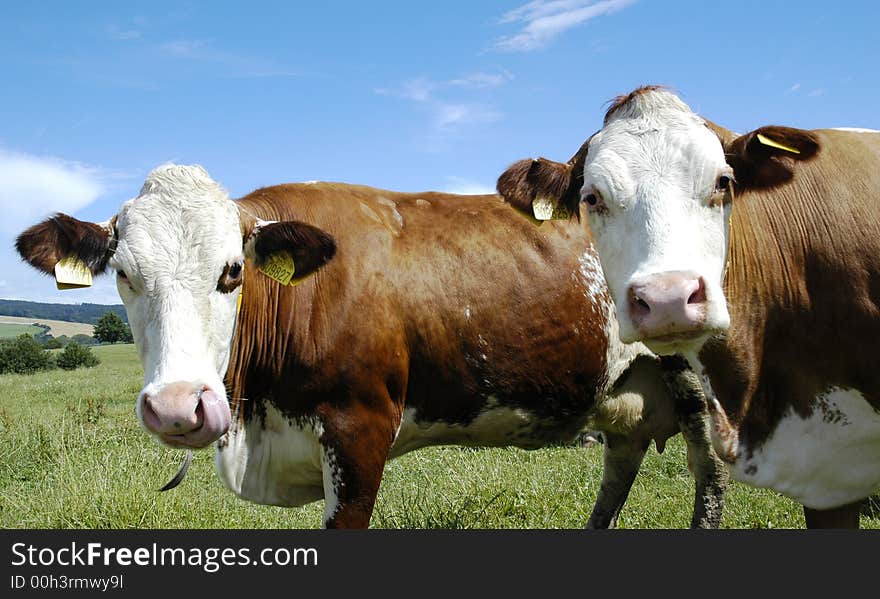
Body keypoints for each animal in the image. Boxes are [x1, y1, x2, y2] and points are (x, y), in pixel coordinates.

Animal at [15, 162, 720, 528]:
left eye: (232, 271)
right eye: (124, 274)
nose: (176, 406)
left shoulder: (359, 432)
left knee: (707, 473)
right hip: (623, 387)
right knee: (622, 461)